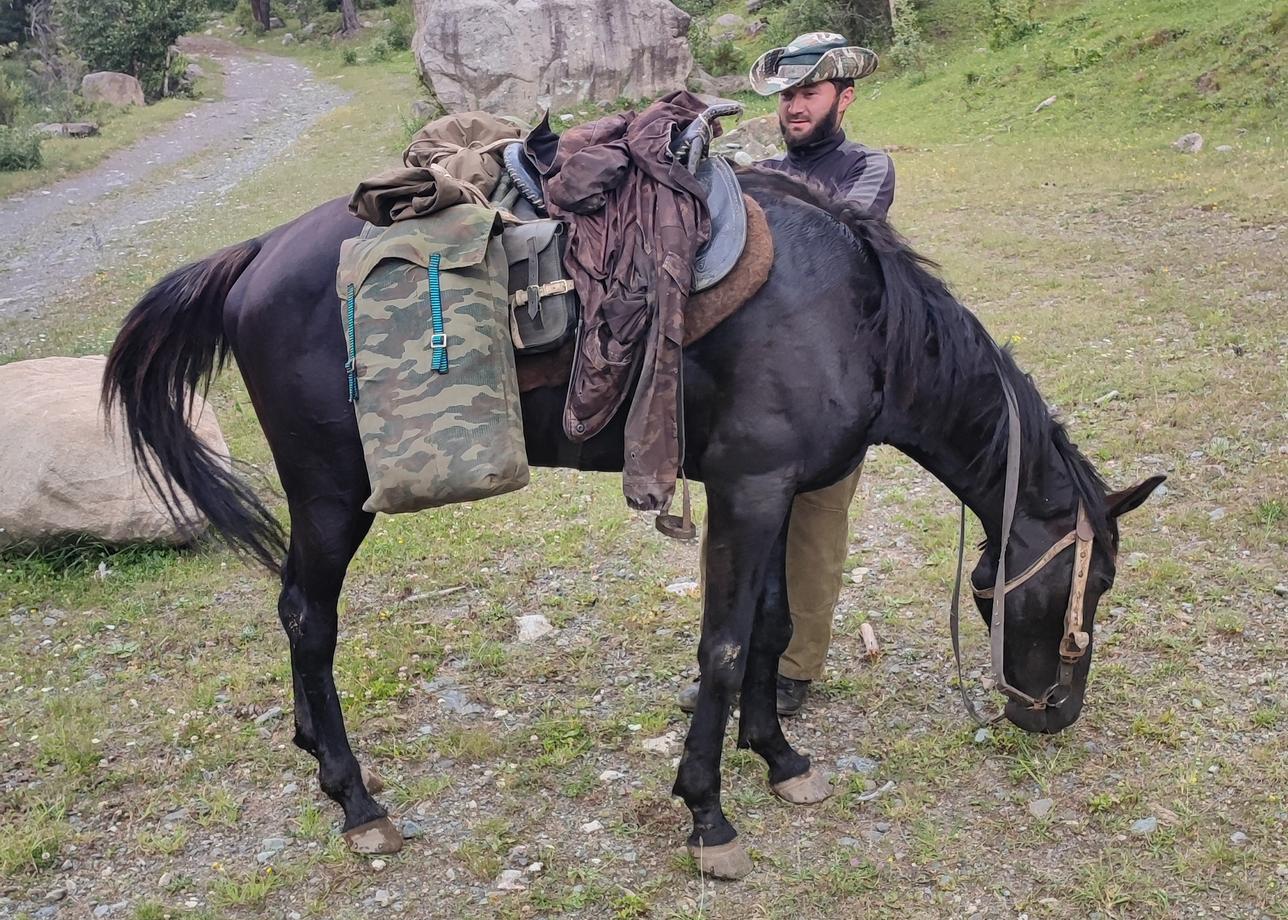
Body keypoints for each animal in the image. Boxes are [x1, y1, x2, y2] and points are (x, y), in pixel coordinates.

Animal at [105, 168, 1164, 876]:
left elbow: (773, 627)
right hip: (330, 499)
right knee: (307, 619)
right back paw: (356, 798)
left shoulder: (777, 492)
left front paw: (780, 758)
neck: (855, 314)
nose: (1056, 712)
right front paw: (708, 815)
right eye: (1099, 581)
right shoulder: (748, 488)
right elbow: (725, 650)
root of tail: (257, 255)